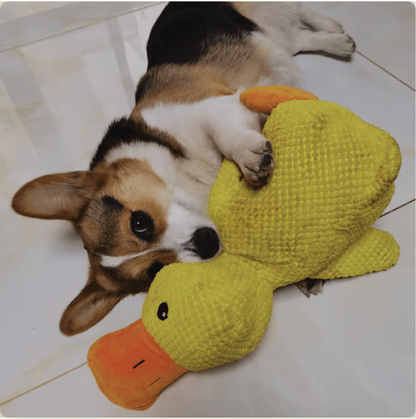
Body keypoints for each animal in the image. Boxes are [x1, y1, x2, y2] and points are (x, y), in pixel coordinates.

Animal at [11, 1, 354, 336]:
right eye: (156, 270)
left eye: (139, 223)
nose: (206, 244)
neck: (194, 179)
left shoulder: (212, 106)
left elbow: (226, 134)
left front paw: (249, 156)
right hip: (274, 40)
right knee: (293, 40)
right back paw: (335, 41)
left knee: (300, 14)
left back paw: (334, 32)